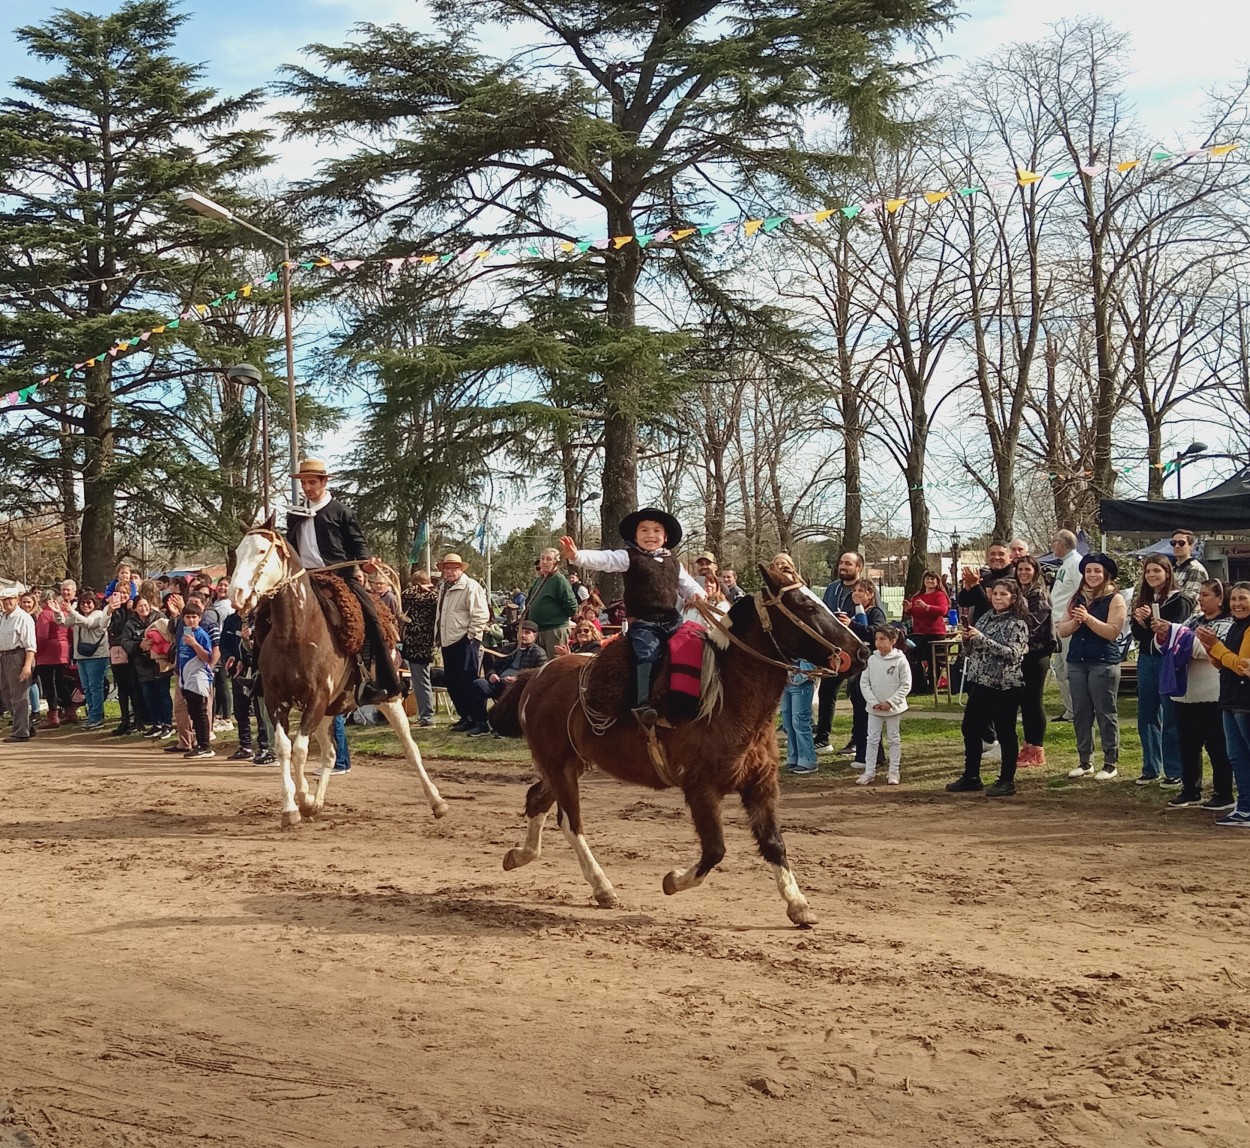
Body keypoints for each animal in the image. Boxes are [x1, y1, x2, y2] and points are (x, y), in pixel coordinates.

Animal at [227, 525, 447, 830]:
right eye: (237, 552)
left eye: (261, 551)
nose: (236, 593)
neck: (295, 633)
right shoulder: (276, 701)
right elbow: (285, 748)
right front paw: (294, 807)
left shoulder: (316, 699)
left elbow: (300, 750)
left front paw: (303, 798)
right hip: (330, 711)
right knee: (330, 754)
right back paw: (316, 802)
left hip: (387, 699)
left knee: (410, 747)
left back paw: (437, 802)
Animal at [490, 570, 870, 930]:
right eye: (806, 606)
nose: (862, 651)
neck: (726, 697)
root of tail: (538, 675)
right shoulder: (700, 788)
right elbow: (715, 850)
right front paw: (673, 880)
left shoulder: (760, 785)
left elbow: (773, 843)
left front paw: (798, 904)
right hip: (559, 766)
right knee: (571, 823)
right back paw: (602, 886)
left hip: (570, 764)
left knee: (537, 800)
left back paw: (520, 856)